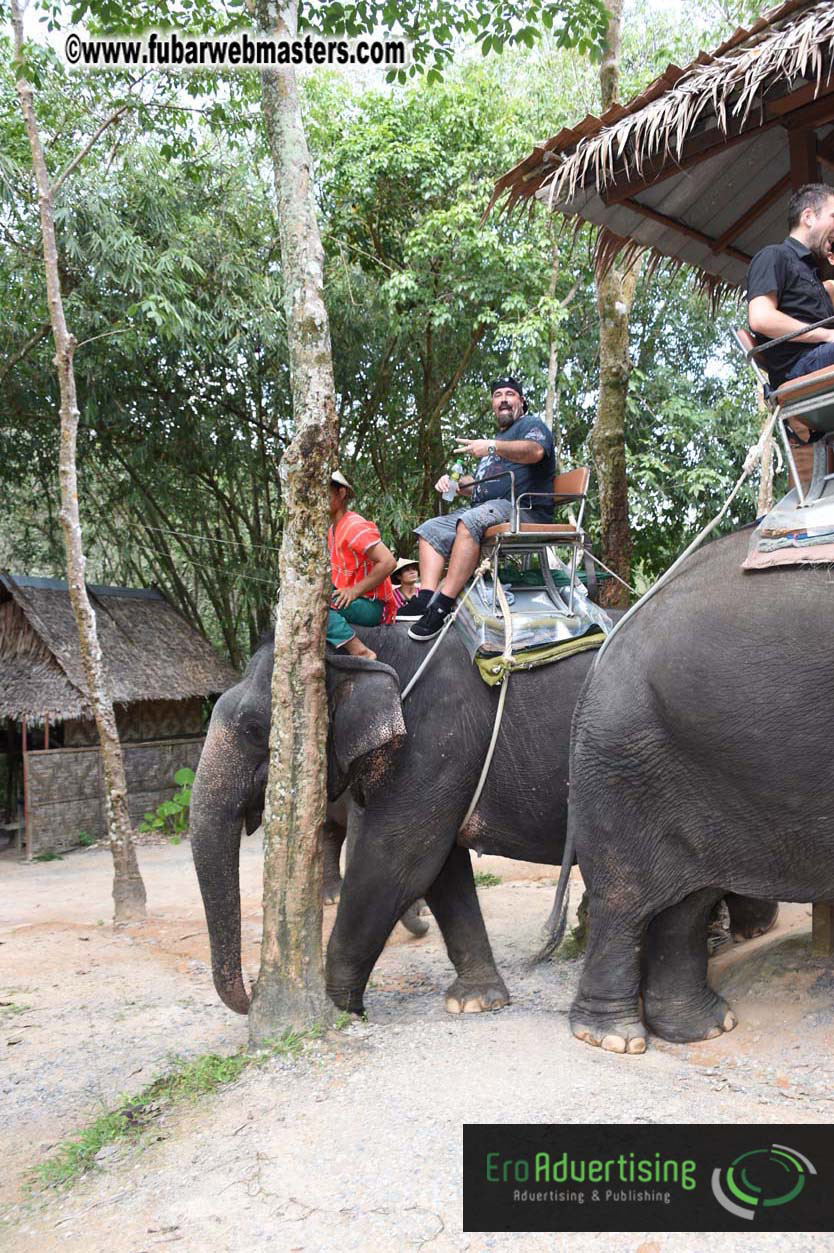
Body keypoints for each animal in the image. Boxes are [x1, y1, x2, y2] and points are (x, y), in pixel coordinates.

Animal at [190, 615, 777, 1018]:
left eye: (255, 729)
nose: (251, 999)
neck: (373, 644)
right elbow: (441, 868)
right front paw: (477, 1002)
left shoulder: (437, 742)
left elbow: (398, 861)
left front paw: (341, 1011)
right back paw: (744, 931)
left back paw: (740, 934)